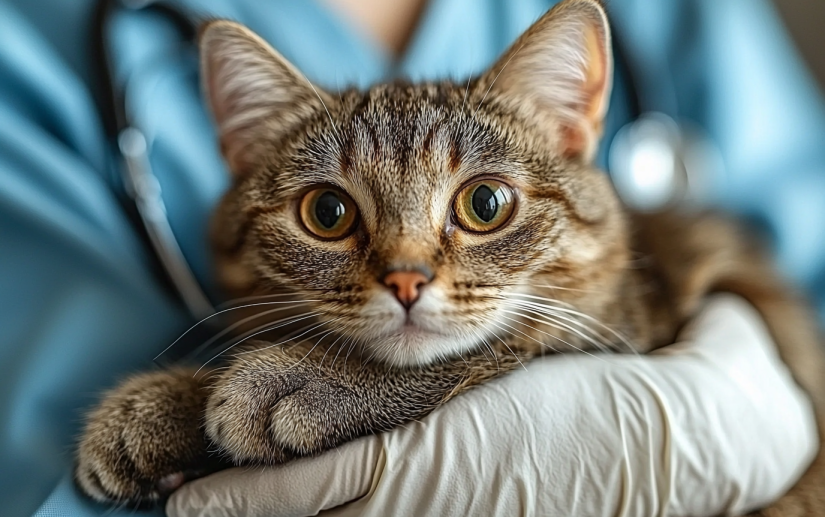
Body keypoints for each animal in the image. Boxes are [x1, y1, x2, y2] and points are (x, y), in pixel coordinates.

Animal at [74, 0, 824, 512]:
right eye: (327, 213)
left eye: (485, 204)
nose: (406, 279)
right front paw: (163, 406)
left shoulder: (632, 325)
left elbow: (495, 348)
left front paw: (298, 379)